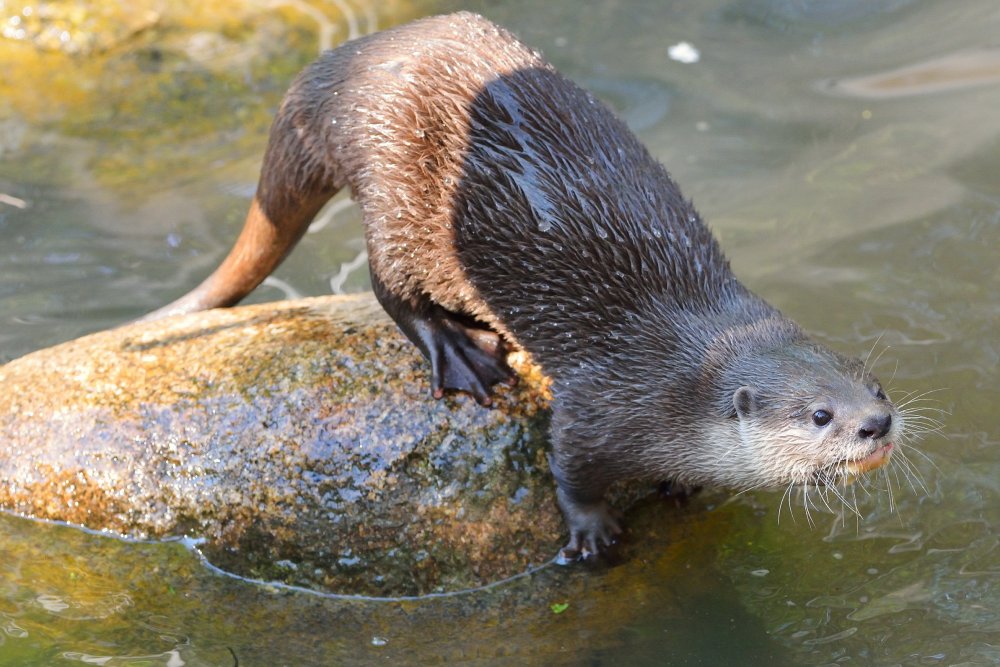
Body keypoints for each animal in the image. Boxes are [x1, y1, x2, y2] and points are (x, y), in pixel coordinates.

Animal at [142, 12, 903, 559]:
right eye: (819, 415)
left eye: (877, 388)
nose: (878, 423)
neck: (687, 373)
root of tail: (342, 72)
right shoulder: (605, 402)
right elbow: (568, 464)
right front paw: (591, 532)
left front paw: (678, 483)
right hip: (400, 201)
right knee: (392, 288)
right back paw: (461, 351)